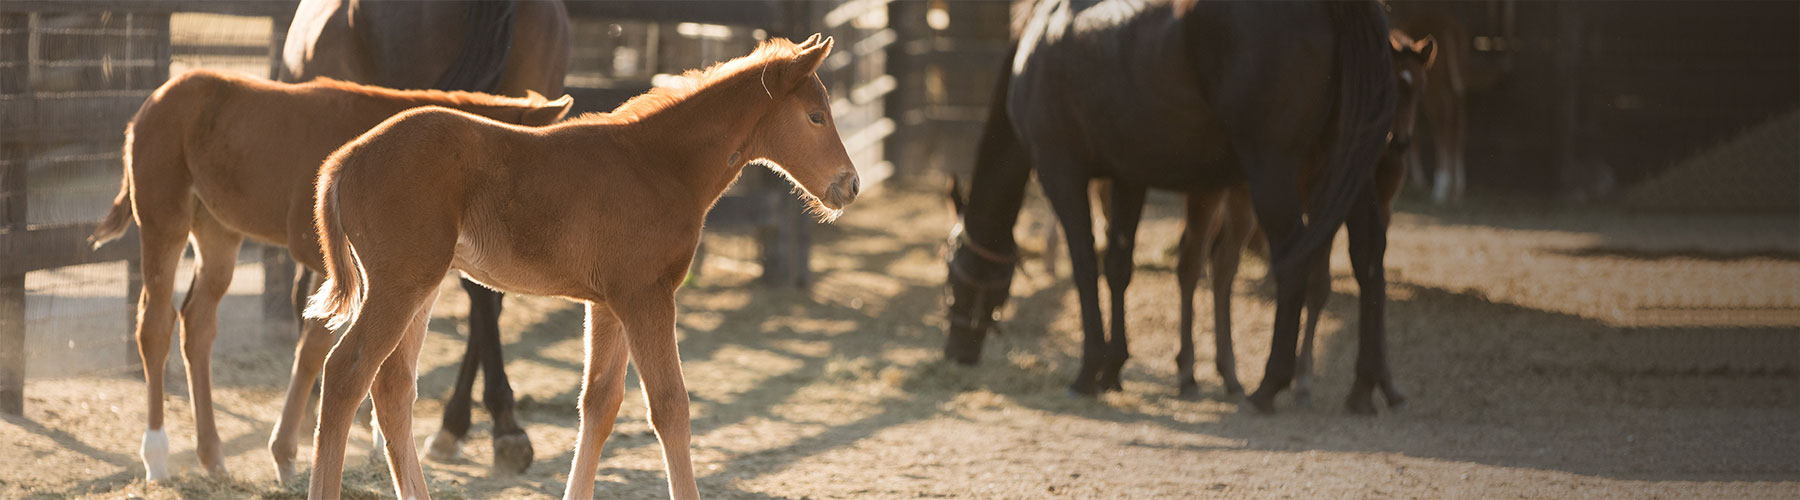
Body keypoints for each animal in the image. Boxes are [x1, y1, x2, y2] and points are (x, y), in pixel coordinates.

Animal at [89, 68, 568, 482]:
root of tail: (148, 105)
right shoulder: (325, 260)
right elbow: (317, 347)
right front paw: (286, 454)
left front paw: (375, 446)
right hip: (164, 218)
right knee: (155, 324)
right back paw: (157, 458)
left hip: (217, 231)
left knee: (198, 324)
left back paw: (213, 457)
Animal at [302, 36, 856, 500]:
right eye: (815, 117)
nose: (849, 185)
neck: (657, 164)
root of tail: (347, 157)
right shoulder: (647, 295)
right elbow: (670, 406)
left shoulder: (609, 303)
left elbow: (599, 403)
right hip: (399, 285)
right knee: (346, 373)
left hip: (422, 286)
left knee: (393, 388)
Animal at [943, 0, 1404, 413]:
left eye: (950, 271)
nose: (955, 350)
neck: (1040, 42)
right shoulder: (1126, 177)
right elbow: (1118, 266)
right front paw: (1113, 369)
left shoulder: (1061, 173)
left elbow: (1085, 267)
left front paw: (1088, 372)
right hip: (1346, 161)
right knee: (1368, 255)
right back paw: (1367, 387)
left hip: (1273, 168)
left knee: (1293, 261)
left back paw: (1268, 386)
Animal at [1173, 30, 1440, 406]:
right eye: (1389, 89)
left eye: (1419, 88)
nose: (1399, 143)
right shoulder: (1318, 202)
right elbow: (1319, 284)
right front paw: (1302, 379)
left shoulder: (1383, 211)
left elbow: (1369, 277)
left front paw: (1387, 384)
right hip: (1209, 191)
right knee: (1191, 261)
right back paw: (1187, 372)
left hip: (1243, 200)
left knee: (1223, 264)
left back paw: (1230, 374)